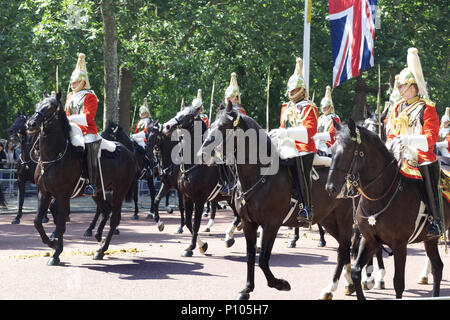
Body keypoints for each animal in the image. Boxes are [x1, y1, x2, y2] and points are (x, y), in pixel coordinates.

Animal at [25, 92, 135, 264]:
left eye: (50, 107)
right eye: (38, 104)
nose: (31, 124)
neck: (52, 156)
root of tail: (128, 151)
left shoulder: (62, 196)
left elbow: (61, 225)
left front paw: (56, 254)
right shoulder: (44, 193)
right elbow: (37, 221)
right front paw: (52, 243)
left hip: (119, 191)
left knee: (114, 219)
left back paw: (101, 249)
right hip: (98, 192)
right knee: (106, 210)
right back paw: (98, 237)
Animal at [163, 106, 243, 256]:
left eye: (188, 116)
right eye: (178, 113)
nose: (167, 126)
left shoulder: (199, 199)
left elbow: (196, 224)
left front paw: (191, 247)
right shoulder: (187, 198)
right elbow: (188, 222)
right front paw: (201, 245)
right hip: (231, 199)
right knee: (237, 217)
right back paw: (229, 238)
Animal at [326, 119, 450, 298]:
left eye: (348, 150)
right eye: (333, 149)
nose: (330, 188)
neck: (379, 196)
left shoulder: (399, 245)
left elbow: (398, 283)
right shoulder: (369, 239)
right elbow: (356, 271)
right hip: (430, 238)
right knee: (437, 267)